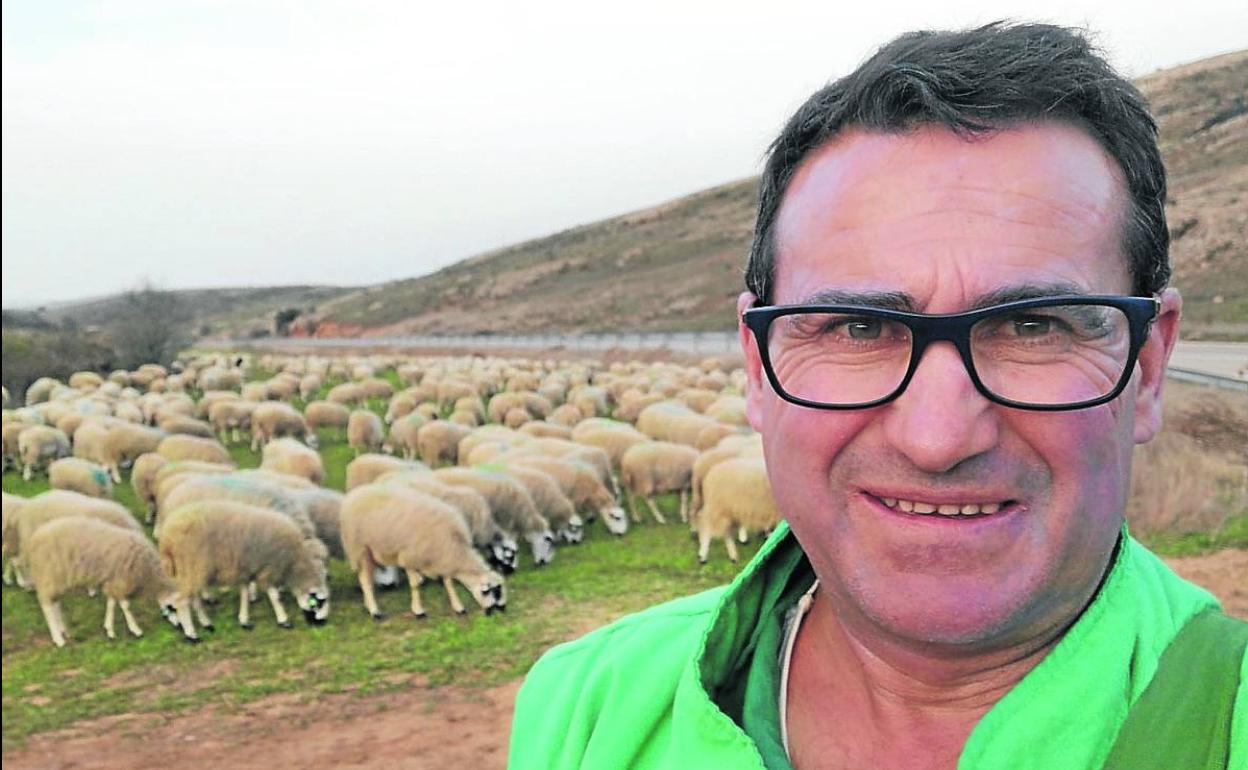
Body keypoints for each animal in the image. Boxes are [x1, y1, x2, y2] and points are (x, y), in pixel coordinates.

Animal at [24, 516, 179, 648]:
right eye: (174, 608)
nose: (178, 626)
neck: (147, 570)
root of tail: (34, 538)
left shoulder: (114, 580)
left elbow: (111, 603)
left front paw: (109, 629)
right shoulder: (121, 579)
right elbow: (125, 605)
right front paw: (135, 629)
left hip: (56, 579)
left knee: (55, 603)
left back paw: (63, 631)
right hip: (48, 575)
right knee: (47, 606)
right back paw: (58, 638)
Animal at [339, 486, 504, 618]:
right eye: (492, 592)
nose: (501, 610)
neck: (454, 547)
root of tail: (354, 494)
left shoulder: (442, 559)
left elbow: (449, 583)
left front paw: (458, 607)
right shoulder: (410, 558)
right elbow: (415, 584)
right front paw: (418, 611)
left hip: (370, 552)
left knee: (366, 578)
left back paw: (368, 605)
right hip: (360, 548)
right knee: (365, 580)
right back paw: (375, 612)